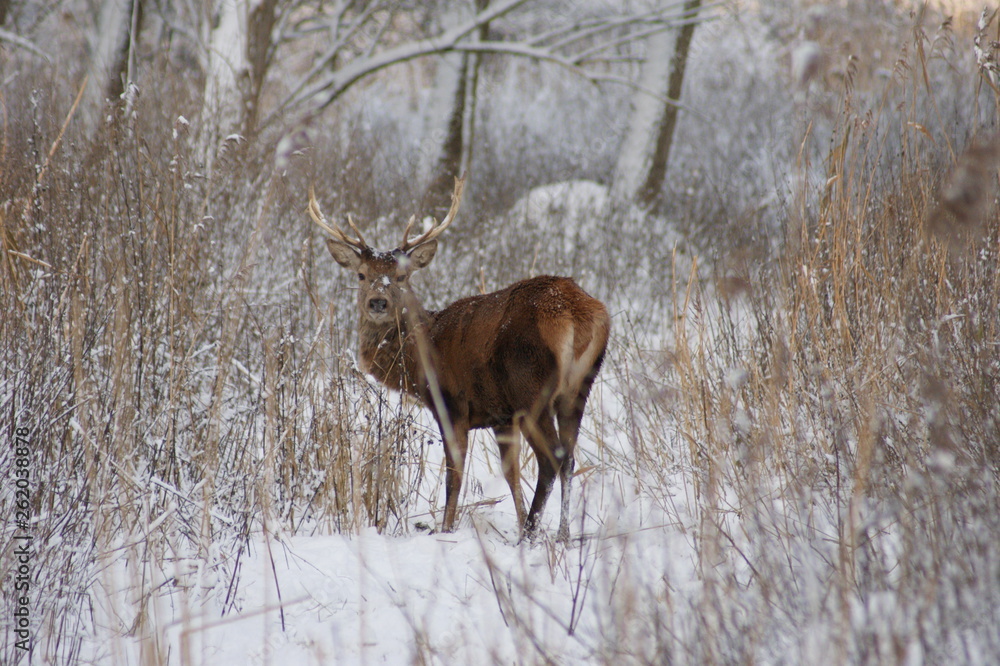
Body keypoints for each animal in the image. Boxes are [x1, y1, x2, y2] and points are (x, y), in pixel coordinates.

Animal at [308, 176, 610, 541]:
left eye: (402, 277)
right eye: (361, 275)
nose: (378, 302)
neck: (419, 357)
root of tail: (576, 313)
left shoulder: (452, 403)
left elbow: (455, 472)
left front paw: (446, 528)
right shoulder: (501, 416)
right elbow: (510, 474)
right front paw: (517, 518)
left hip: (531, 387)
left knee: (552, 457)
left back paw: (529, 535)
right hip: (578, 388)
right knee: (569, 459)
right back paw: (561, 534)